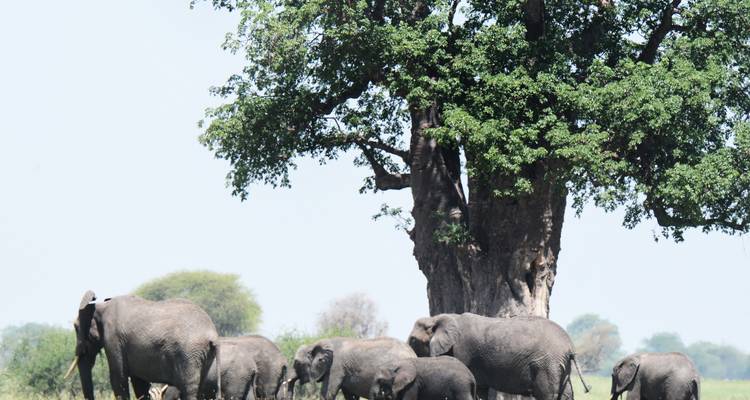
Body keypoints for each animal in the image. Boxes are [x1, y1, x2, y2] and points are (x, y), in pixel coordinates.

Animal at [67, 290, 221, 400]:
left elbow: (118, 378)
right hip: (202, 355)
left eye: (76, 327)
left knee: (189, 389)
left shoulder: (114, 339)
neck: (101, 306)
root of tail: (212, 333)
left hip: (189, 353)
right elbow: (139, 383)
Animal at [288, 337, 417, 400]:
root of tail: (413, 353)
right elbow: (349, 394)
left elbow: (327, 393)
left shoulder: (336, 367)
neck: (315, 344)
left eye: (297, 363)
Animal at [407, 313, 589, 400]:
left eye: (413, 340)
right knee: (566, 394)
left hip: (546, 364)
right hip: (559, 365)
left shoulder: (463, 352)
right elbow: (480, 389)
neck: (440, 318)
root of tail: (569, 346)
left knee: (547, 395)